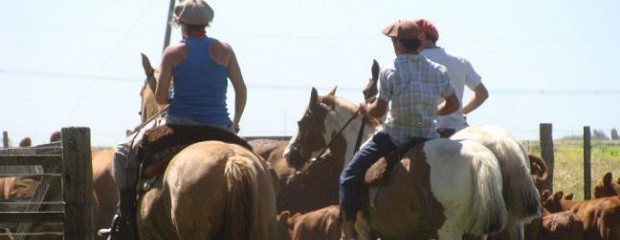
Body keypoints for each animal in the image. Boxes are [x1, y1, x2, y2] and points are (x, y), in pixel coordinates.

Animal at [284, 88, 506, 240]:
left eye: (301, 122)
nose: (288, 154)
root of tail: (479, 157)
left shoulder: (365, 231)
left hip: (449, 232)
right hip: (476, 233)